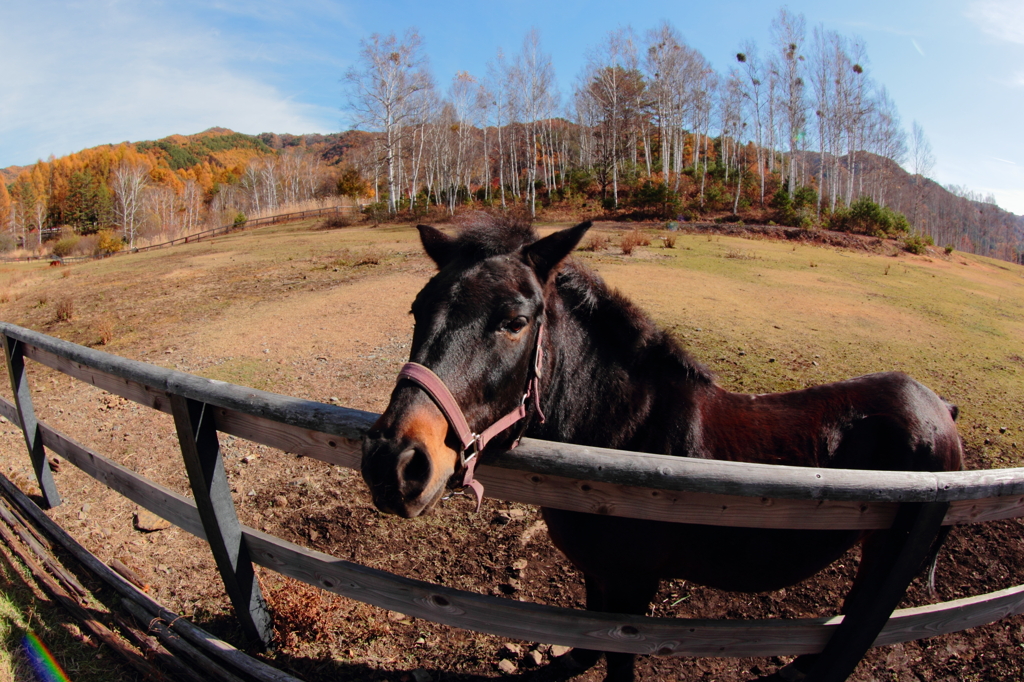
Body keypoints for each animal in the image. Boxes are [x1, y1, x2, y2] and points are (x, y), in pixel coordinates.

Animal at [360, 216, 958, 679]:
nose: (394, 463)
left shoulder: (635, 589)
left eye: (515, 321)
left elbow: (618, 663)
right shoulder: (599, 575)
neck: (623, 440)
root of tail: (940, 409)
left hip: (886, 564)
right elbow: (588, 640)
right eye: (417, 311)